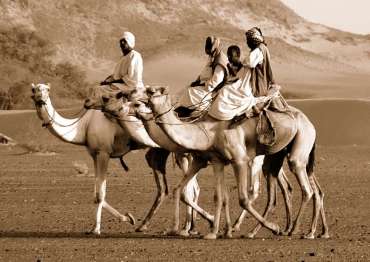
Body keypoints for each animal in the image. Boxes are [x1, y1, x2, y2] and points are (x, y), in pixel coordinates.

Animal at [30, 82, 197, 235]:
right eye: (33, 90)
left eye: (47, 89)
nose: (41, 99)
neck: (83, 127)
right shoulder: (94, 155)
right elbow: (96, 194)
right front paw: (128, 218)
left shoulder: (104, 153)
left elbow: (100, 195)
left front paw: (96, 229)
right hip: (164, 152)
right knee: (183, 186)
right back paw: (183, 227)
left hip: (181, 152)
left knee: (189, 187)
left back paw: (184, 229)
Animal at [100, 90, 294, 239]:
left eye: (136, 103)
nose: (112, 108)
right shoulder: (205, 159)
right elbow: (201, 193)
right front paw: (207, 228)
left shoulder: (187, 157)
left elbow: (191, 191)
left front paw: (191, 227)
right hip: (272, 157)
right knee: (283, 185)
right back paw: (286, 227)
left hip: (255, 160)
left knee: (255, 190)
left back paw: (259, 228)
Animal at [142, 88, 330, 239]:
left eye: (152, 91)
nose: (137, 100)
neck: (207, 131)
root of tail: (310, 123)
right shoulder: (215, 160)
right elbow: (216, 196)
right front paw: (213, 232)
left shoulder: (239, 160)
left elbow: (243, 199)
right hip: (278, 156)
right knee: (287, 189)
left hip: (300, 142)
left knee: (306, 188)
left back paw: (297, 230)